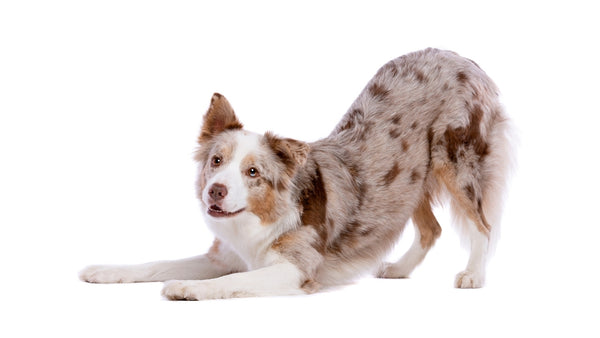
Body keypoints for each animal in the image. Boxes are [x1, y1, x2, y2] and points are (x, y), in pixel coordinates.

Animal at [78, 48, 510, 300]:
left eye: (253, 172)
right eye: (216, 161)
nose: (215, 191)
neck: (260, 218)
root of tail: (461, 57)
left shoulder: (296, 270)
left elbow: (227, 282)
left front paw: (186, 287)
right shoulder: (226, 255)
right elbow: (156, 263)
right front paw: (104, 270)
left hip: (457, 163)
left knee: (484, 226)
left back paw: (473, 276)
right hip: (410, 180)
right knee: (430, 229)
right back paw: (399, 270)